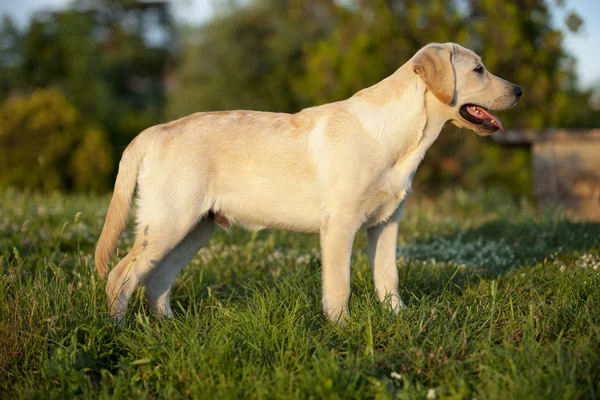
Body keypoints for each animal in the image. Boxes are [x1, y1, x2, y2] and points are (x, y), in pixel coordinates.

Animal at [96, 42, 524, 322]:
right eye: (478, 69)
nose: (520, 90)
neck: (402, 136)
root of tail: (153, 131)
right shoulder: (340, 226)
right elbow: (339, 286)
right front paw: (343, 329)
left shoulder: (387, 223)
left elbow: (388, 277)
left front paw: (399, 319)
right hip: (168, 224)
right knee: (121, 277)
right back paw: (119, 333)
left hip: (195, 229)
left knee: (157, 282)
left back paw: (167, 331)